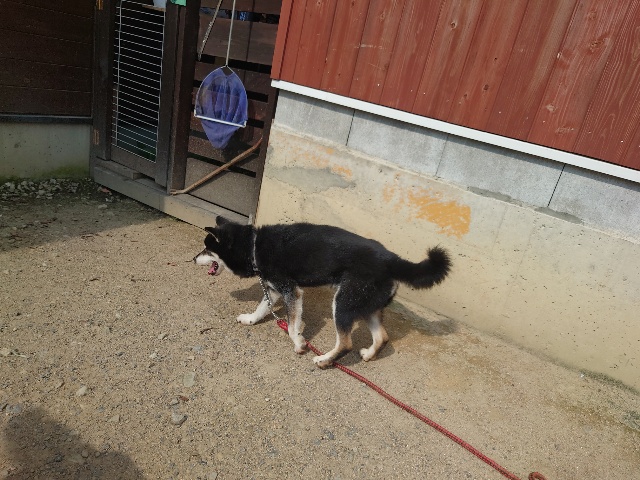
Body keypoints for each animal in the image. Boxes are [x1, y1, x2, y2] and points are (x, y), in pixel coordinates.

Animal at [194, 216, 451, 368]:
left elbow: (292, 326)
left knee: (346, 343)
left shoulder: (291, 291)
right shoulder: (274, 290)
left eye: (206, 248)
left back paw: (325, 360)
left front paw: (299, 344)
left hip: (343, 304)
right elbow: (261, 308)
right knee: (382, 337)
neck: (254, 246)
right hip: (365, 305)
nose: (193, 258)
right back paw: (368, 355)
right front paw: (250, 319)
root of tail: (392, 260)